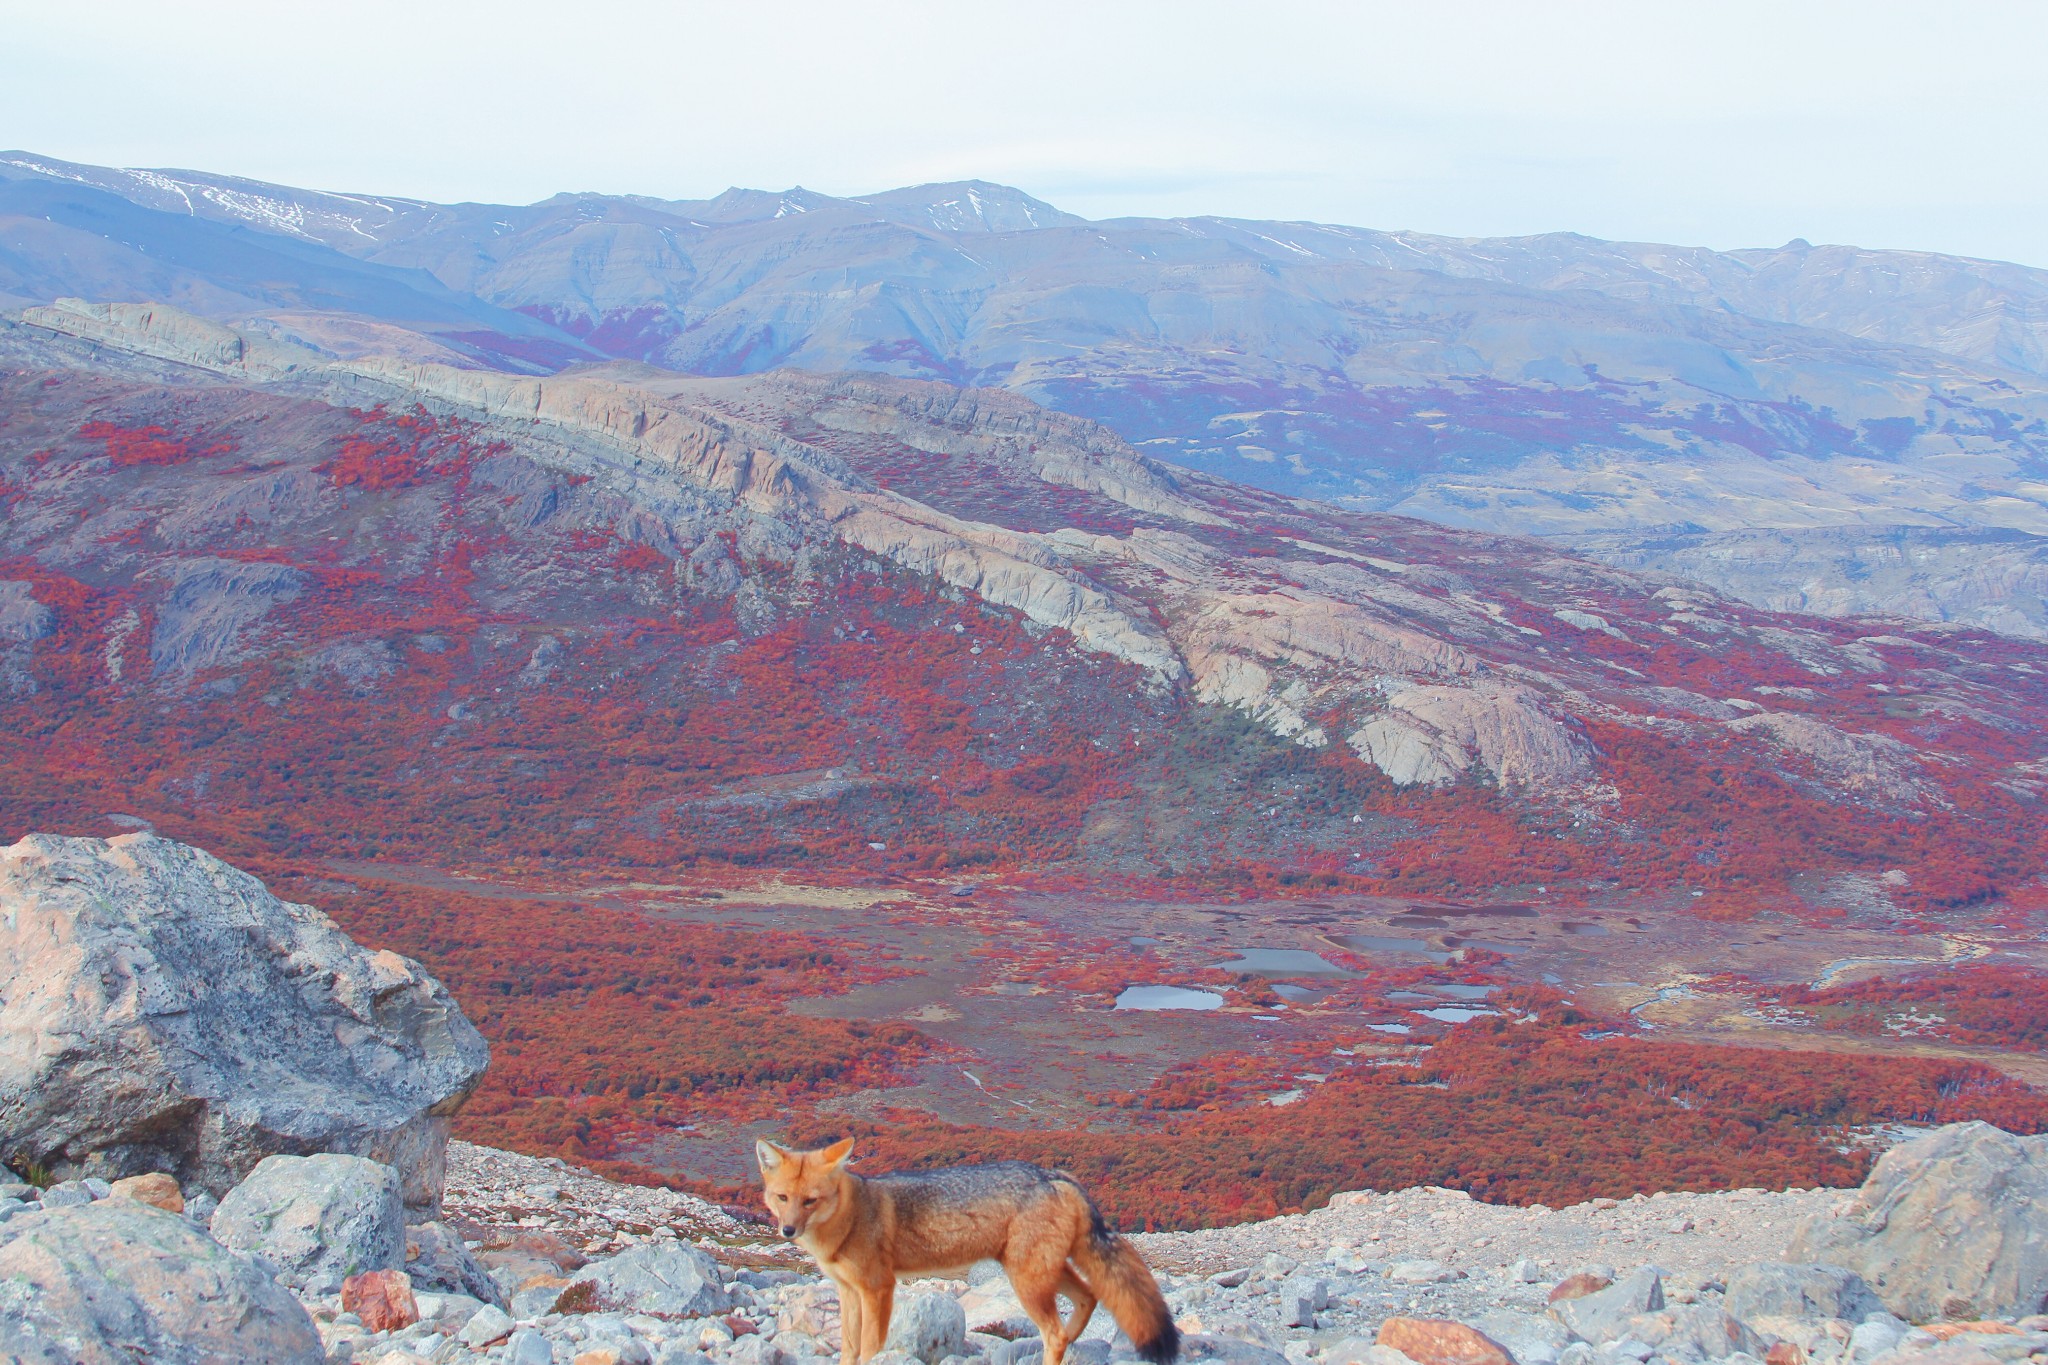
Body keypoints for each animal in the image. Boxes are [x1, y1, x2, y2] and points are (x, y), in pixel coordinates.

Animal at [753, 1137, 1179, 1365]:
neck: (853, 1216)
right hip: (1042, 1272)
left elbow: (870, 1346)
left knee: (1055, 1331)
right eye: (783, 1198)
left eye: (810, 1201)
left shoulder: (878, 1289)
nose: (787, 1230)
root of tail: (1054, 1175)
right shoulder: (848, 1292)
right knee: (1088, 1298)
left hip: (1026, 1281)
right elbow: (849, 1346)